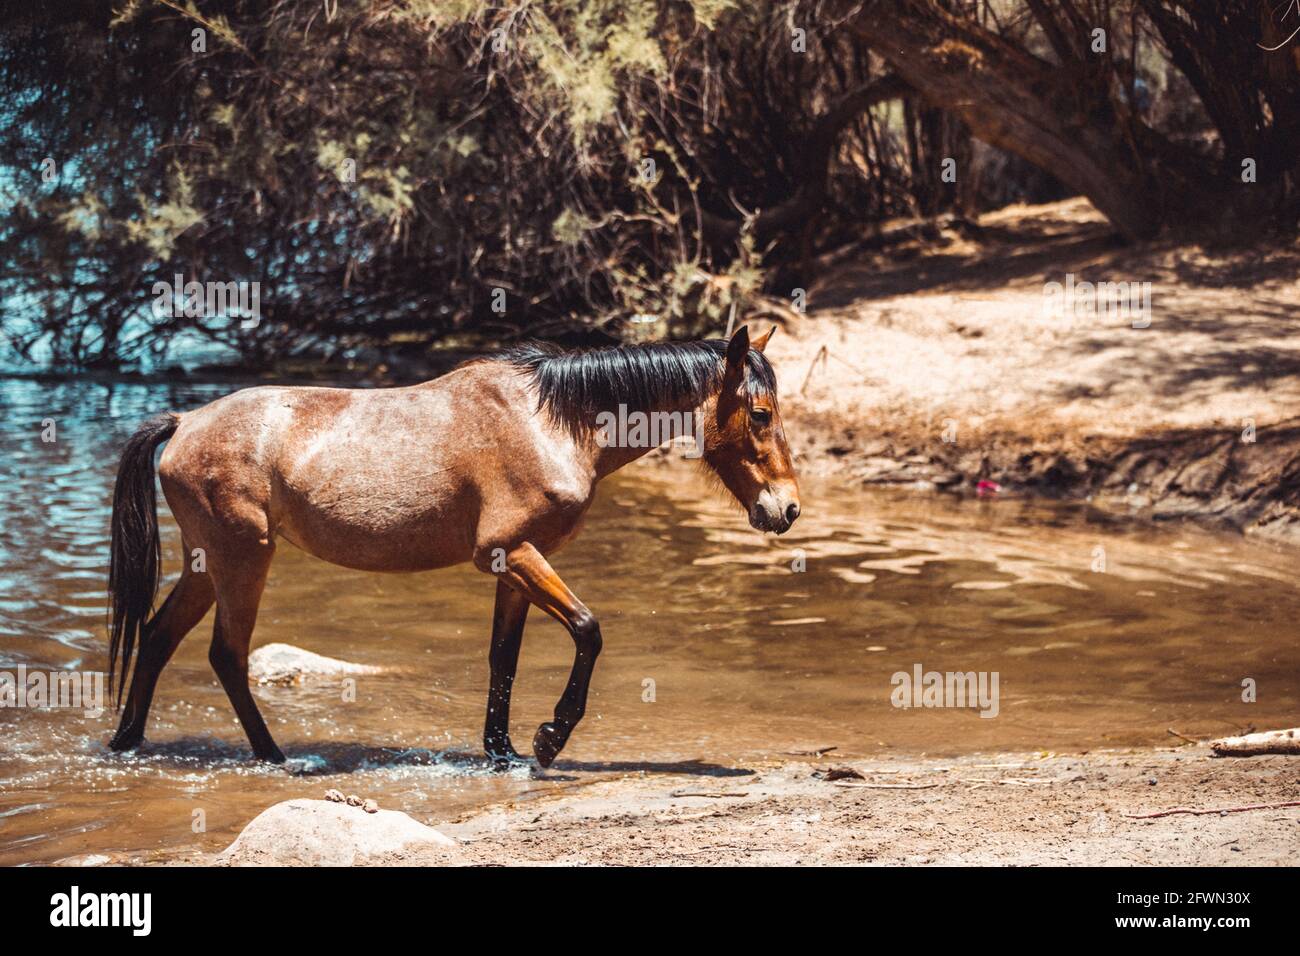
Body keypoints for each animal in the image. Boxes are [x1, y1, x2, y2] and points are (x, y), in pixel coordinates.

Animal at [109, 325, 800, 764]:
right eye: (760, 414)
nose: (787, 508)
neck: (553, 423)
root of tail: (183, 424)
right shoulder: (512, 553)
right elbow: (588, 629)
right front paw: (551, 737)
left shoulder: (515, 563)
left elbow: (503, 658)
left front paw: (504, 750)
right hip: (242, 559)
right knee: (225, 655)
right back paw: (274, 756)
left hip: (209, 564)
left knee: (158, 637)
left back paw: (126, 744)